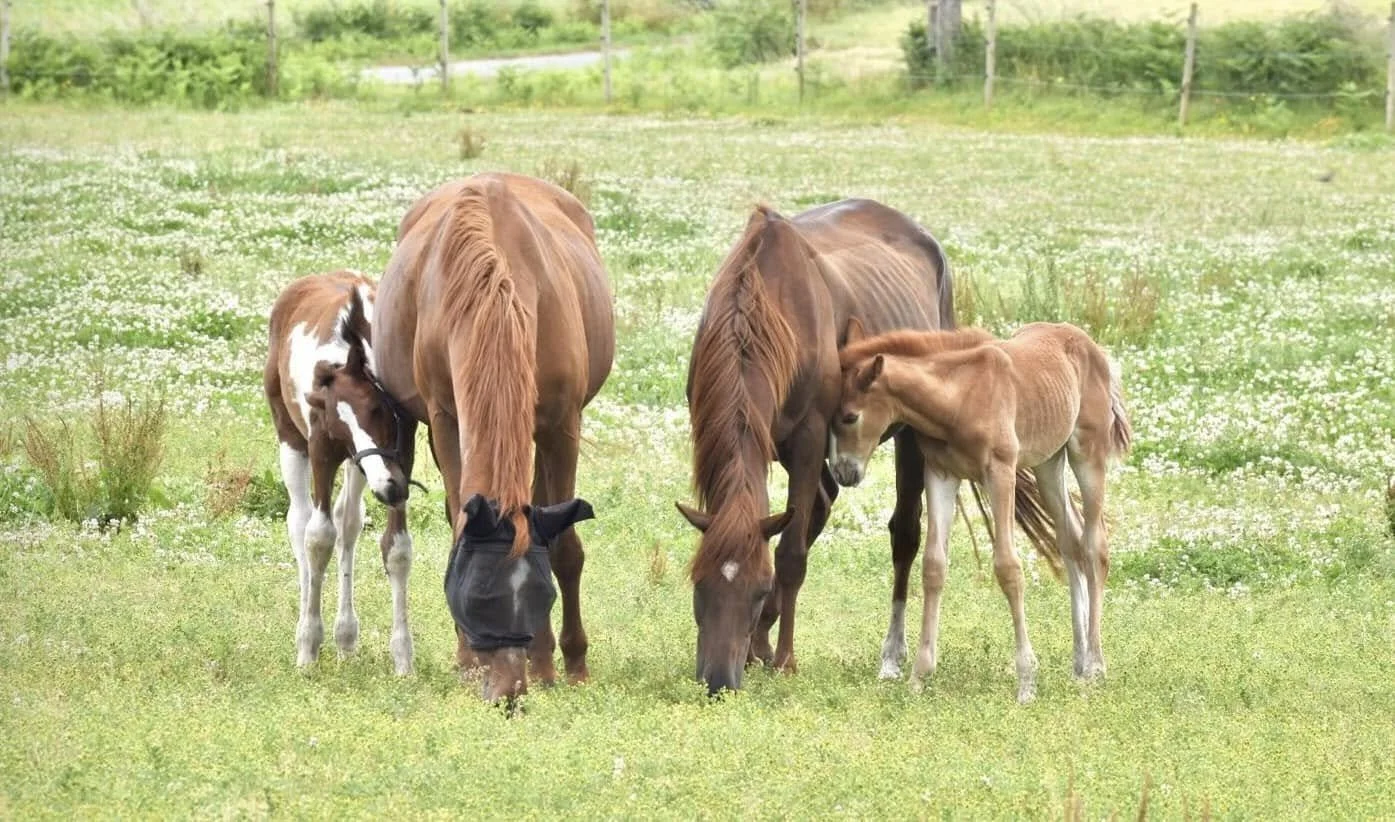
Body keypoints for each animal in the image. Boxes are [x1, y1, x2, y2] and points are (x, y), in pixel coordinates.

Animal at [263, 270, 421, 675]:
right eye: (338, 426)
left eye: (378, 409)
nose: (390, 487)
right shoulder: (322, 448)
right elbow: (318, 538)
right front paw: (308, 648)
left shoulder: (401, 451)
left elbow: (396, 547)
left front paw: (403, 659)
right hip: (292, 440)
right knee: (301, 521)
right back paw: (307, 629)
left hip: (357, 467)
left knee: (347, 523)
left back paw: (346, 637)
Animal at [373, 173, 614, 703]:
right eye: (474, 598)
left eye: (540, 595)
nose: (508, 692)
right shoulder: (447, 421)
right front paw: (467, 661)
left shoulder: (562, 426)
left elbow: (564, 548)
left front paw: (569, 664)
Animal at [676, 200, 1056, 696]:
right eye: (698, 585)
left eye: (757, 590)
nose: (719, 681)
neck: (762, 305)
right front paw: (761, 646)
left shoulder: (809, 440)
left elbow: (790, 554)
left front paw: (784, 658)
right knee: (820, 506)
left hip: (911, 438)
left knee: (904, 535)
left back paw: (892, 655)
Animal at [829, 321, 1133, 702]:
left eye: (850, 417)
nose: (843, 472)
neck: (959, 393)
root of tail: (1087, 341)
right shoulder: (940, 474)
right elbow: (933, 566)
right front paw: (919, 675)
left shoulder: (1000, 471)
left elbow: (1008, 567)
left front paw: (1026, 682)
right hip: (1048, 462)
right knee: (1070, 541)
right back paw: (1078, 662)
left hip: (1087, 453)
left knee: (1095, 546)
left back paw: (1094, 665)